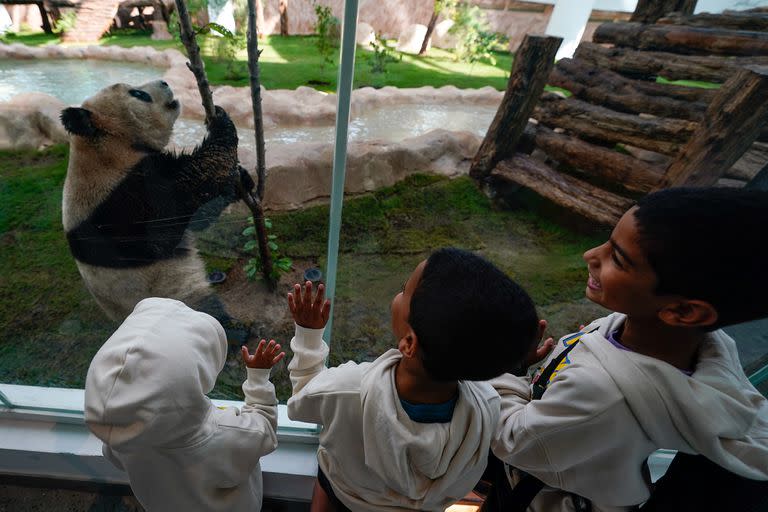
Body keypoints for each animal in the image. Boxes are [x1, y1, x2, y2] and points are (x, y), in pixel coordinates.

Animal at [61, 80, 252, 342]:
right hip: (173, 297)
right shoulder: (123, 201)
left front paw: (243, 180)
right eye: (138, 93)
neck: (105, 146)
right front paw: (220, 122)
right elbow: (187, 192)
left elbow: (196, 218)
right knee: (204, 311)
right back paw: (237, 331)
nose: (165, 82)